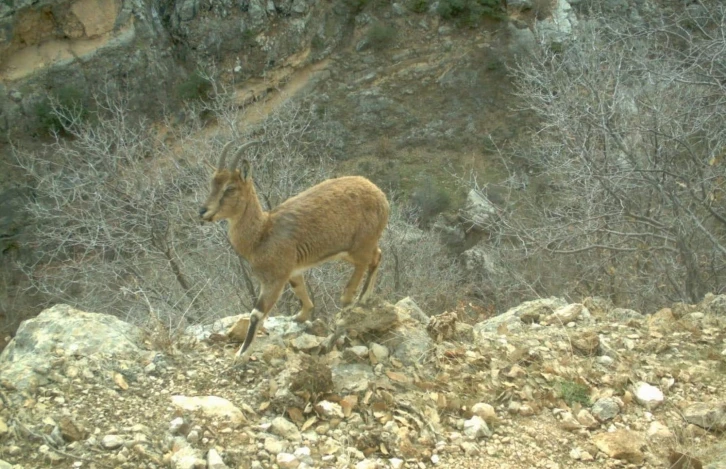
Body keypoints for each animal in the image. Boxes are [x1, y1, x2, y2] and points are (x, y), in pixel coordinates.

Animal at [199, 143, 392, 362]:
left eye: (230, 188)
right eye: (212, 184)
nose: (203, 212)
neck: (262, 234)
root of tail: (380, 195)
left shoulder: (275, 278)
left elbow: (256, 313)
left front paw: (242, 353)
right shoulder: (293, 271)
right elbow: (300, 292)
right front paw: (300, 316)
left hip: (358, 249)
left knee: (352, 286)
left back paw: (342, 321)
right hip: (362, 246)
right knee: (377, 256)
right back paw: (365, 298)